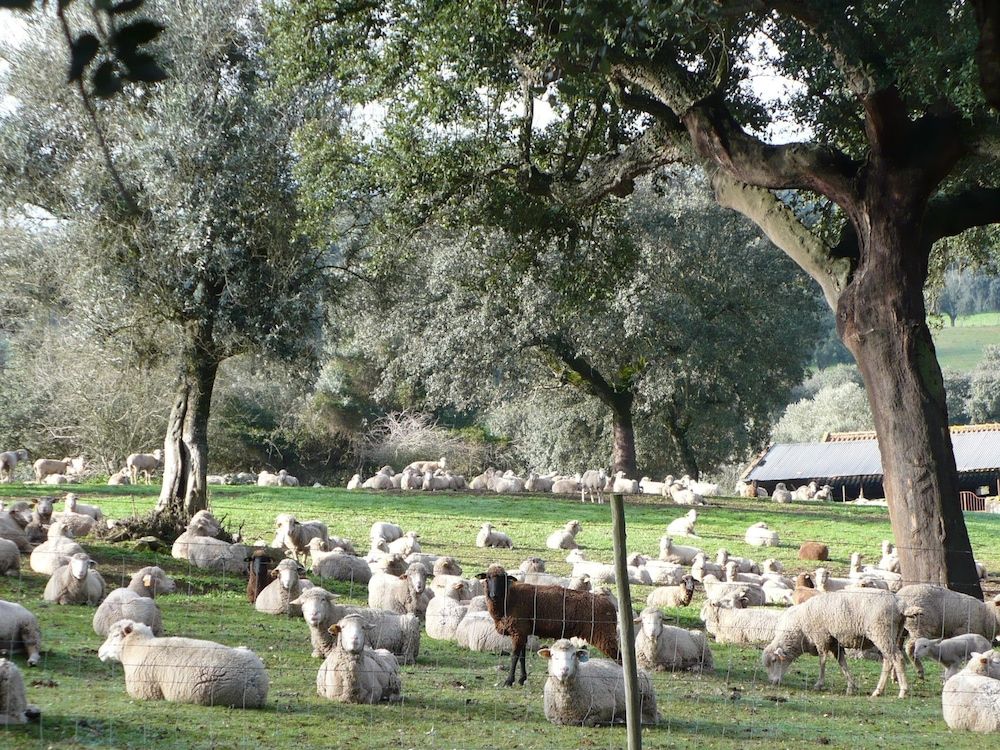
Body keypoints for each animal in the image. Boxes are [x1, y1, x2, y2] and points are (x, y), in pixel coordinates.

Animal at [292, 588, 420, 664]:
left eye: (323, 599)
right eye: (303, 603)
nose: (313, 614)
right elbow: (316, 655)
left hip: (409, 639)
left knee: (407, 658)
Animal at [474, 564, 616, 688]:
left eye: (503, 579)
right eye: (488, 578)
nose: (494, 595)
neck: (508, 599)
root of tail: (611, 606)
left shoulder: (518, 631)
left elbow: (514, 656)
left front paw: (509, 681)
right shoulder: (523, 631)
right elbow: (522, 657)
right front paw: (522, 679)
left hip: (604, 636)